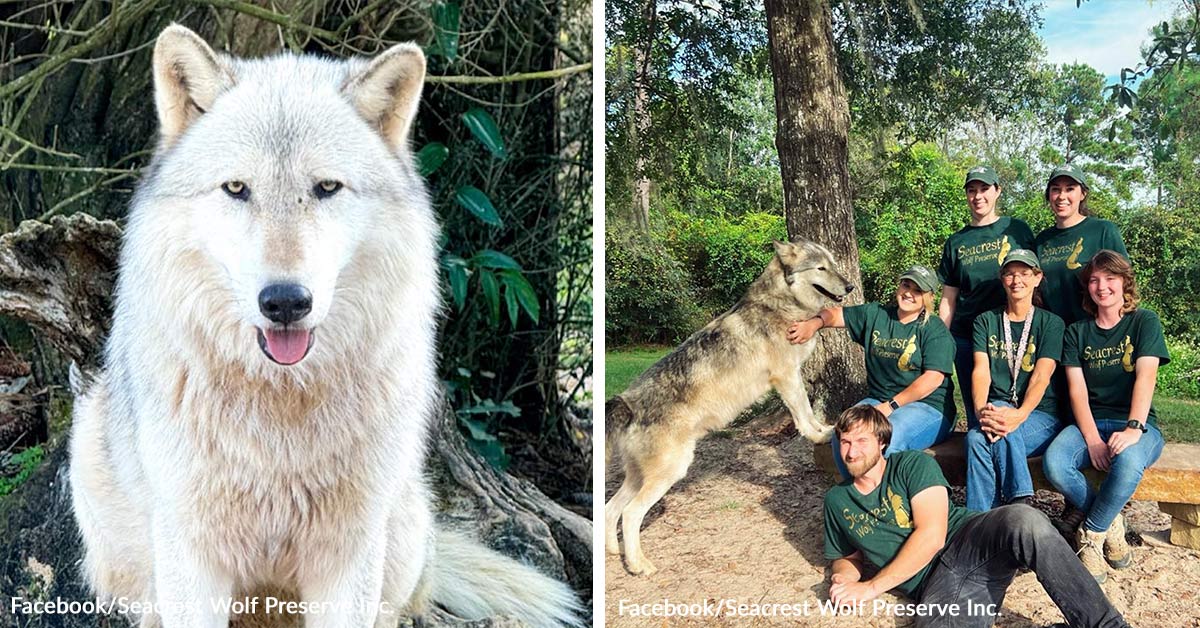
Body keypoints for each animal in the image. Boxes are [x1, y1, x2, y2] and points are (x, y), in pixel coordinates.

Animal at [67, 24, 579, 628]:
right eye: (236, 189)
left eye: (327, 188)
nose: (285, 302)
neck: (280, 412)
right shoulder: (192, 556)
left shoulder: (348, 556)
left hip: (399, 532)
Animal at [605, 239, 854, 576]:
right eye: (821, 268)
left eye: (834, 264)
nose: (850, 286)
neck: (779, 304)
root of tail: (627, 402)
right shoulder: (787, 376)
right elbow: (803, 413)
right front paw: (820, 435)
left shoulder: (792, 376)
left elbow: (808, 412)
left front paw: (824, 429)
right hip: (670, 472)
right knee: (630, 514)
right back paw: (639, 565)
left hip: (638, 477)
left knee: (610, 509)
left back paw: (613, 551)